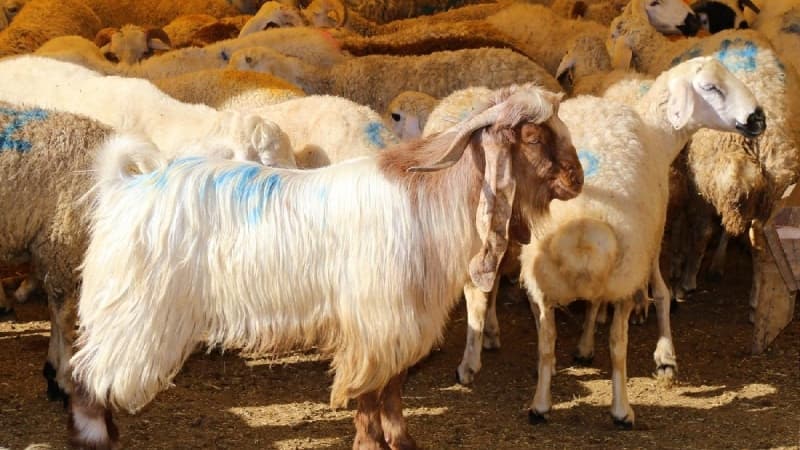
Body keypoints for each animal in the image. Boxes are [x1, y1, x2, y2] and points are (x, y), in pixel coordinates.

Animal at [67, 83, 584, 450]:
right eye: (532, 136)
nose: (577, 180)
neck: (428, 198)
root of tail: (124, 186)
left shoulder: (400, 321)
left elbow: (392, 389)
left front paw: (401, 440)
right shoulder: (375, 321)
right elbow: (369, 395)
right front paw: (369, 443)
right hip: (134, 313)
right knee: (86, 375)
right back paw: (97, 435)